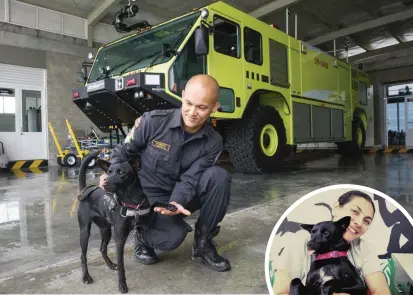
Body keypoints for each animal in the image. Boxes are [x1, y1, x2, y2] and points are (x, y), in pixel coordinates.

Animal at [75, 153, 175, 294]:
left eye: (121, 172)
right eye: (109, 172)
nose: (105, 183)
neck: (131, 201)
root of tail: (85, 190)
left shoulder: (147, 222)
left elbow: (155, 204)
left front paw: (169, 206)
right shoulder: (120, 239)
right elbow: (122, 265)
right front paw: (122, 285)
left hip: (106, 229)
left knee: (102, 248)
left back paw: (111, 264)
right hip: (85, 231)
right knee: (83, 256)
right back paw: (86, 277)